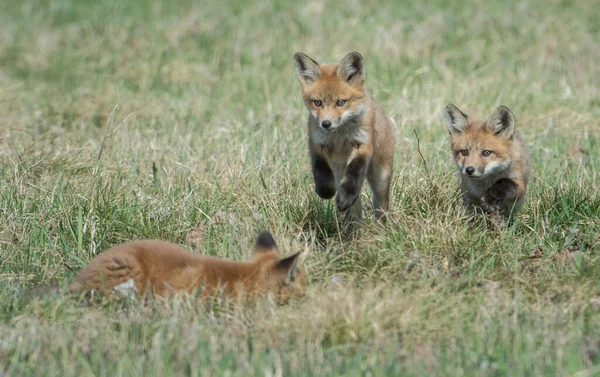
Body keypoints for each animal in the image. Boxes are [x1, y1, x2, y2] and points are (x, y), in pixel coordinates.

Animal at [292, 51, 396, 222]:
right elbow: (321, 171)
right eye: (317, 102)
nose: (326, 123)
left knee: (380, 204)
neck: (339, 136)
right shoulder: (316, 144)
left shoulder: (363, 145)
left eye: (340, 102)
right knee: (356, 210)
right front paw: (326, 191)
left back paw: (380, 225)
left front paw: (345, 198)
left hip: (381, 177)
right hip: (340, 171)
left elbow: (354, 173)